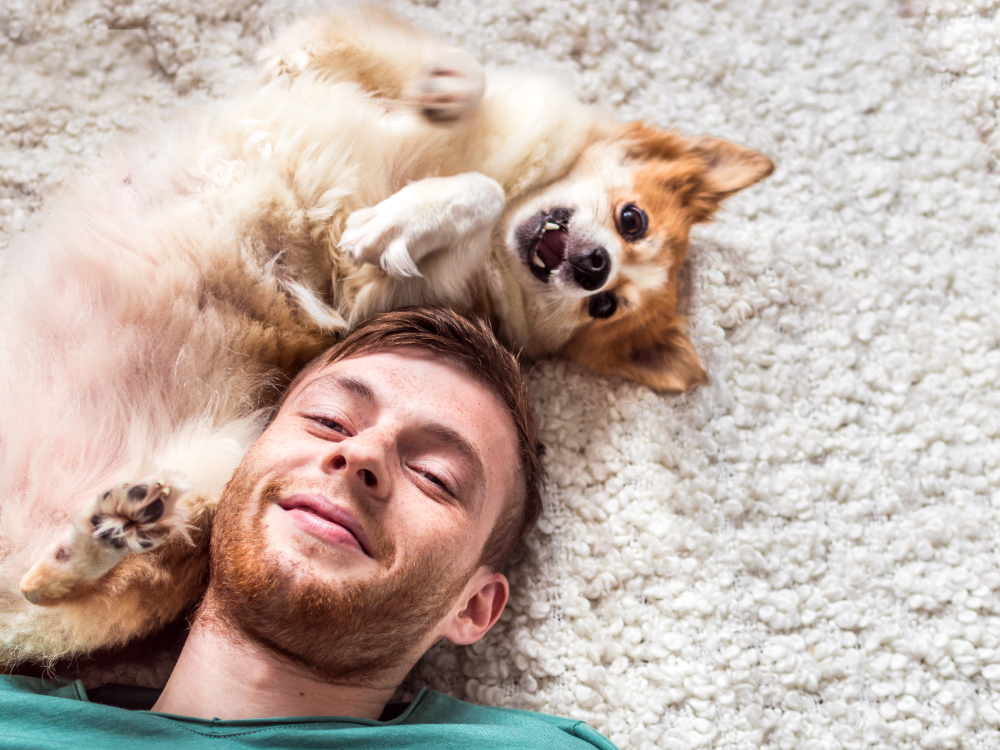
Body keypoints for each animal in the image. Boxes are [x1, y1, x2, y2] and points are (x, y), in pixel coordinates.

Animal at [0, 7, 772, 664]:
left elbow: (463, 201)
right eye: (631, 220)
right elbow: (460, 81)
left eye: (606, 307)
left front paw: (406, 215)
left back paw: (109, 532)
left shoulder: (377, 296)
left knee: (63, 583)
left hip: (225, 469)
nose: (593, 268)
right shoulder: (332, 48)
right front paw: (445, 95)